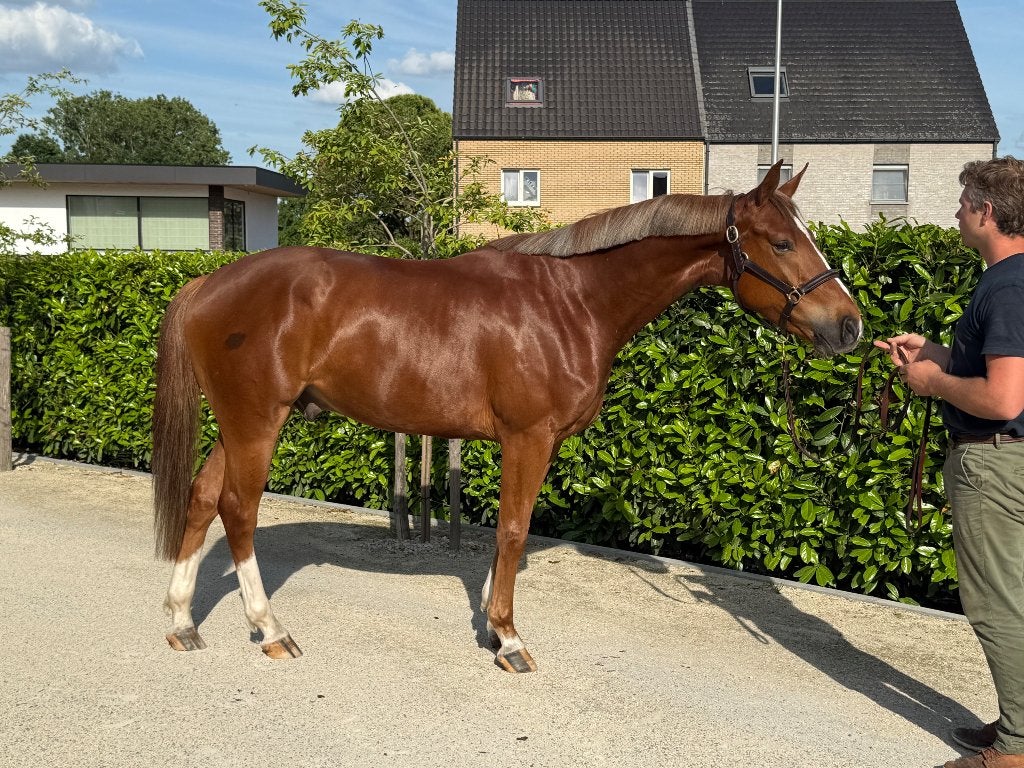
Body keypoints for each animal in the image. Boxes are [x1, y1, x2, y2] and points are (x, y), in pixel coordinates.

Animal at [152, 161, 862, 673]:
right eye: (782, 242)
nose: (849, 326)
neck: (571, 303)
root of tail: (207, 283)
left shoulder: (524, 443)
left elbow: (502, 537)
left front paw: (493, 629)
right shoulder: (529, 438)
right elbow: (515, 532)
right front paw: (510, 640)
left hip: (240, 424)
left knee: (203, 498)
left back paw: (183, 622)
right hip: (257, 422)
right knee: (238, 509)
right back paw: (271, 630)